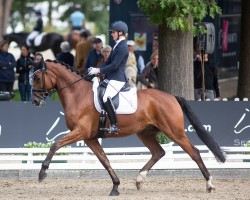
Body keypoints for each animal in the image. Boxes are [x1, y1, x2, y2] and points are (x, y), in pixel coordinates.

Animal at [31, 59, 227, 195]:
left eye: (38, 77)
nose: (35, 101)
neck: (78, 94)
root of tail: (172, 97)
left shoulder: (80, 132)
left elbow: (55, 144)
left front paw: (42, 173)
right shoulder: (90, 138)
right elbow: (105, 160)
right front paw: (115, 187)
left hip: (174, 132)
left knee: (194, 152)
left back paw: (210, 184)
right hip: (145, 133)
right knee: (158, 152)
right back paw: (139, 180)